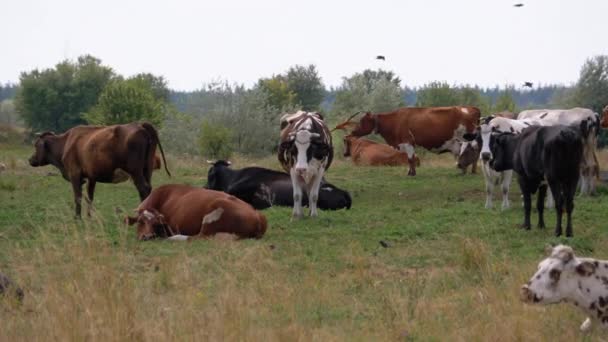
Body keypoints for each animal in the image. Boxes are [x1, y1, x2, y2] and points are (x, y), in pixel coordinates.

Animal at [28, 122, 169, 216]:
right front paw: (89, 217)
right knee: (149, 188)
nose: (30, 159)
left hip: (135, 171)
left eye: (36, 145)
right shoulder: (92, 177)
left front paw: (77, 218)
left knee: (143, 188)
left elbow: (78, 197)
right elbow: (90, 197)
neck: (66, 142)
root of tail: (139, 124)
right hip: (147, 170)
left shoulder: (74, 174)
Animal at [127, 184, 268, 240]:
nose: (147, 237)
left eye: (156, 223)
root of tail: (256, 215)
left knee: (197, 238)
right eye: (140, 222)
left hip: (213, 215)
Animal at [332, 106, 480, 176]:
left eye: (363, 121)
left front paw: (411, 174)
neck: (395, 121)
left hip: (467, 139)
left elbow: (410, 159)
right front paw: (410, 172)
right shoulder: (407, 144)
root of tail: (472, 108)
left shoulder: (407, 142)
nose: (353, 132)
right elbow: (411, 159)